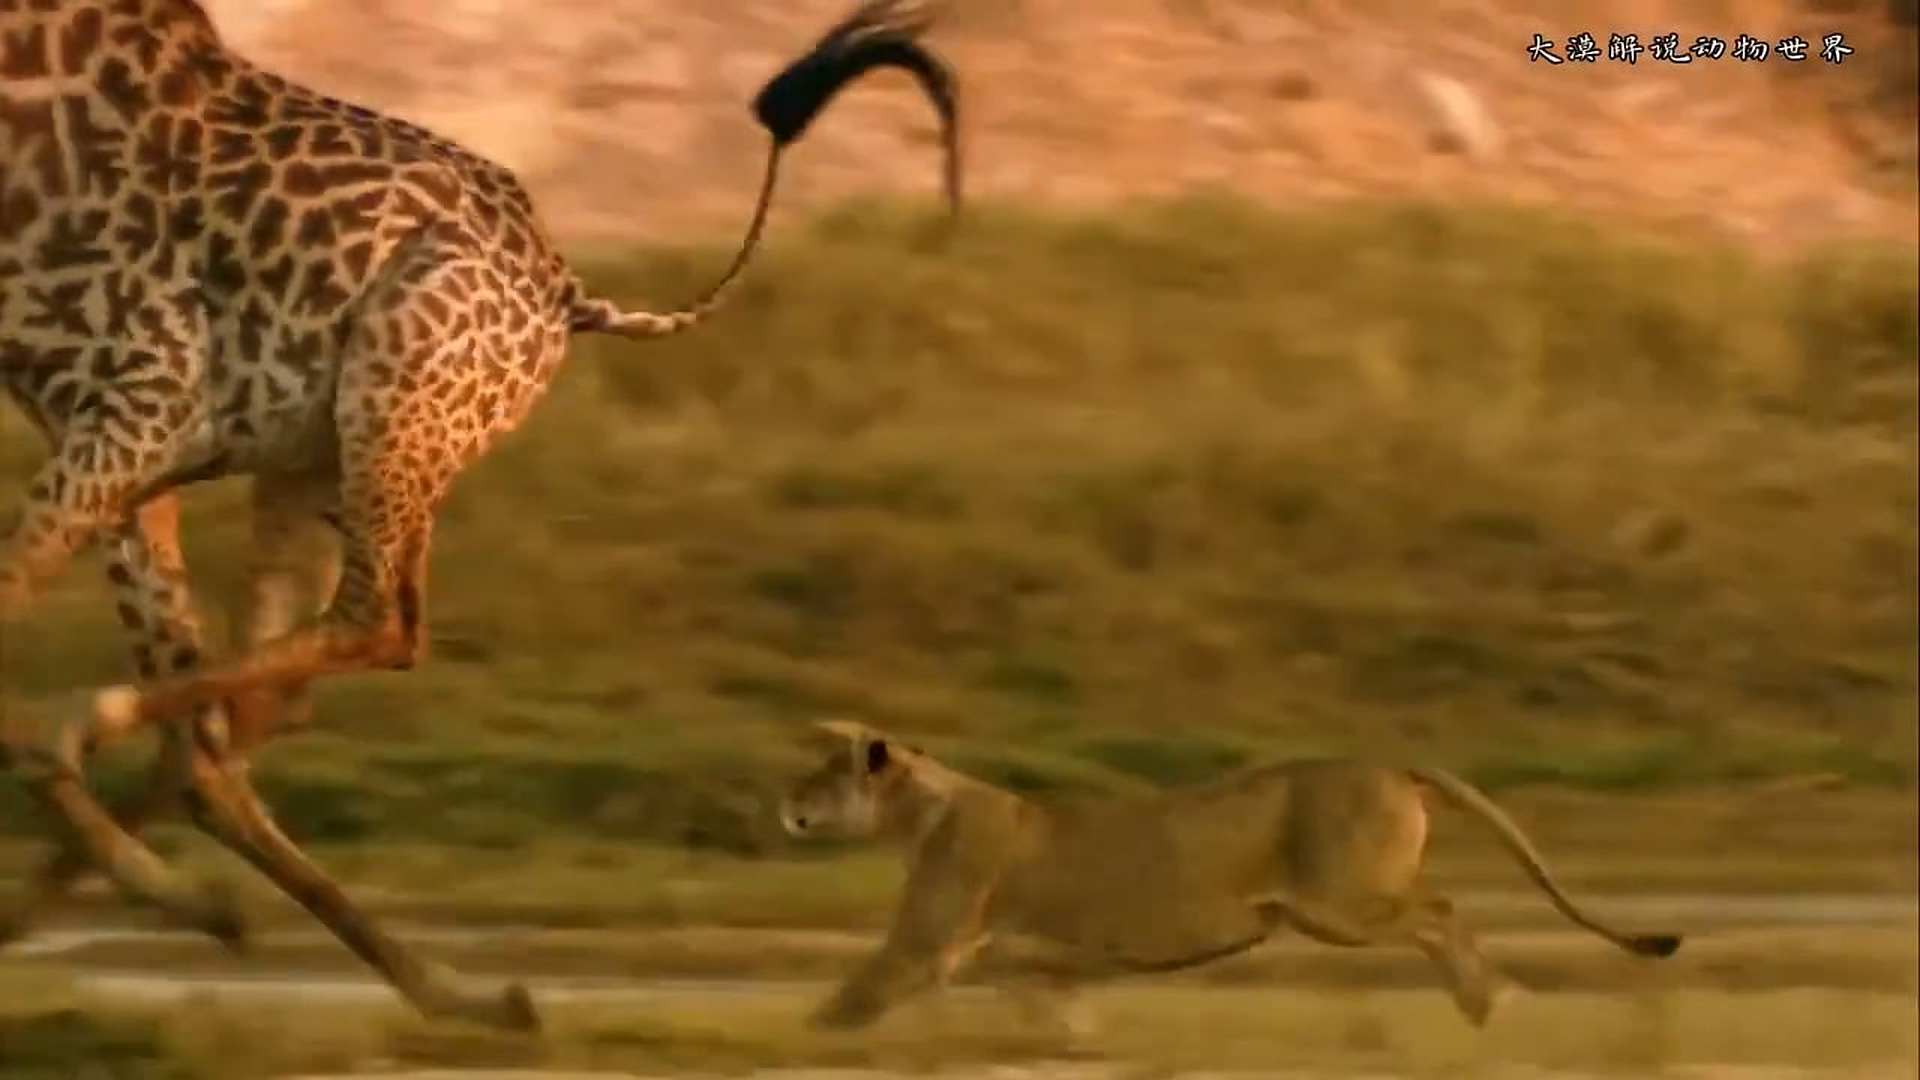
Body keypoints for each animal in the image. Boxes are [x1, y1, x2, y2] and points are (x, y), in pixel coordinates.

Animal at [1, 0, 962, 1029]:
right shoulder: (101, 422)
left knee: (355, 633)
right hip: (316, 456)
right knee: (254, 706)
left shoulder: (146, 399)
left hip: (384, 409)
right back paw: (448, 988)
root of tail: (569, 295)